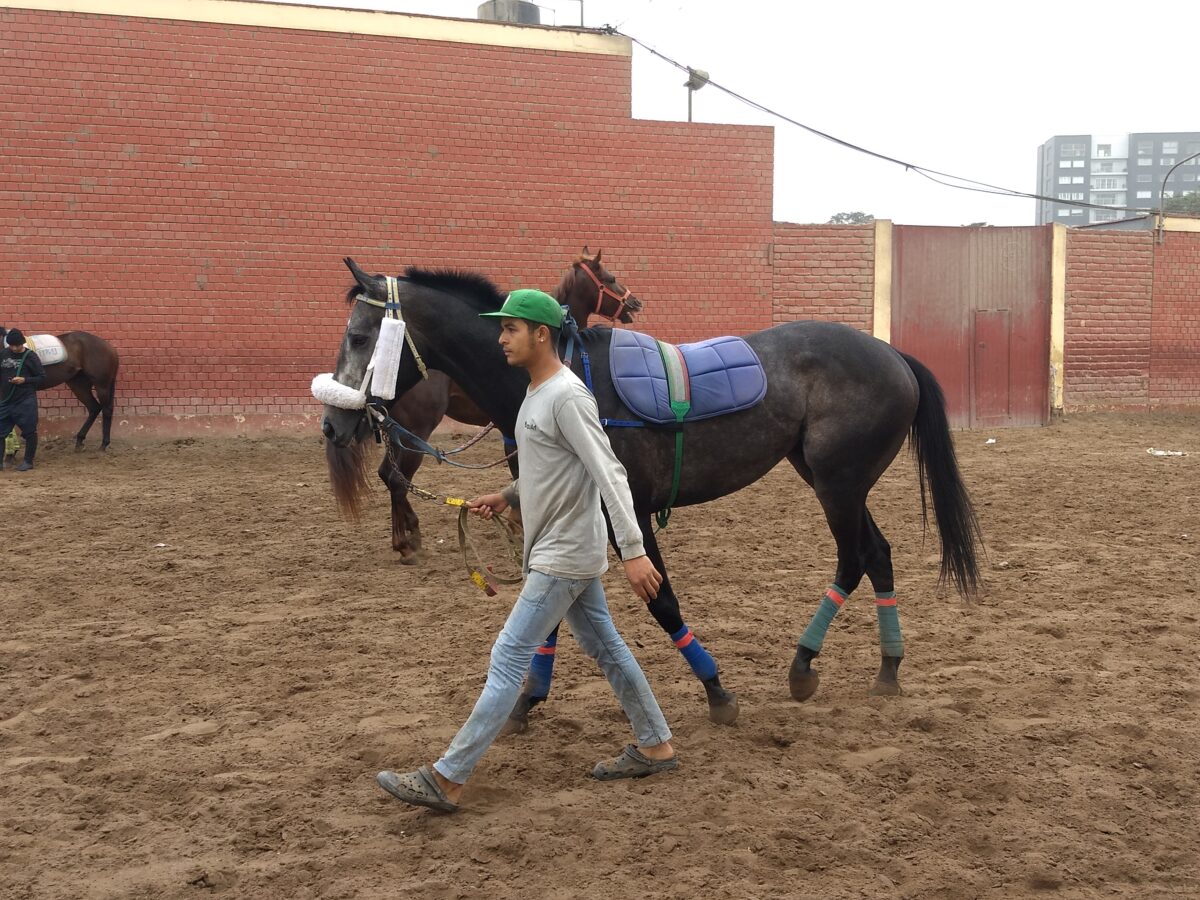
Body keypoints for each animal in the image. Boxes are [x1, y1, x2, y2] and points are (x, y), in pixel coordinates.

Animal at [358, 250, 643, 562]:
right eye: (610, 278)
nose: (634, 303)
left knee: (388, 475)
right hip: (416, 433)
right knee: (396, 479)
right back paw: (407, 543)